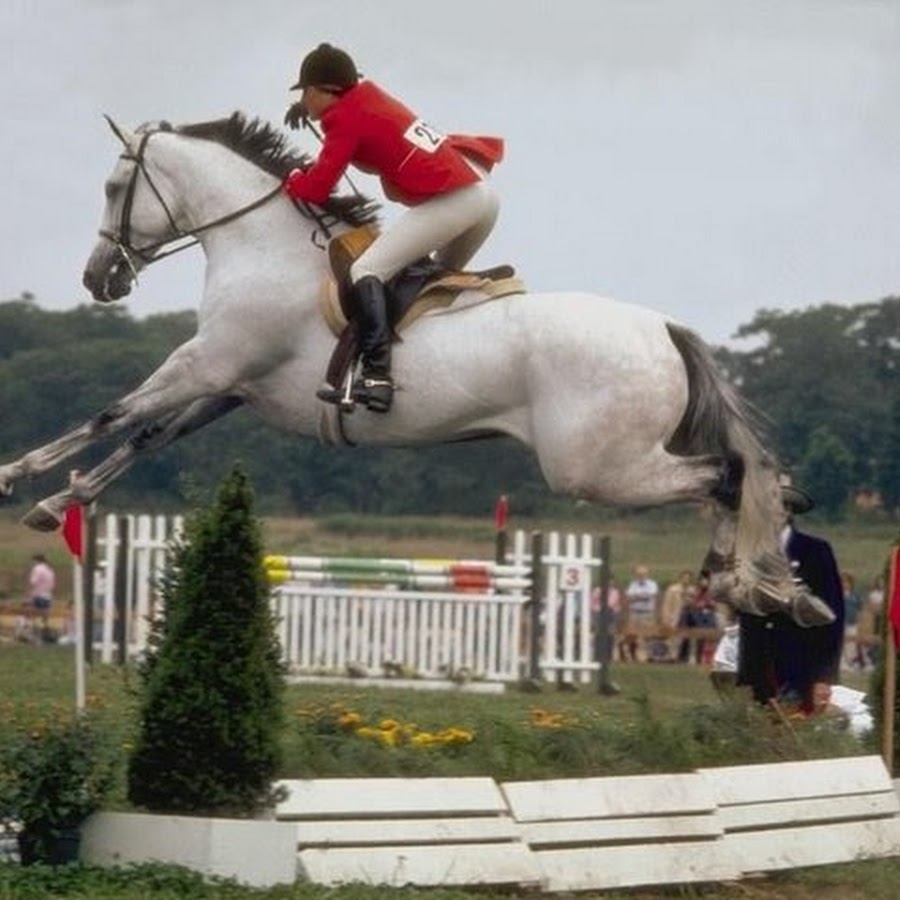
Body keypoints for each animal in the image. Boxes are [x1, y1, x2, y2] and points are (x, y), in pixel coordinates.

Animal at [0, 112, 828, 624]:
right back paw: (764, 590)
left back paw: (739, 583)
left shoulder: (205, 364)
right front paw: (61, 500)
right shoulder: (232, 386)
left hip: (597, 468)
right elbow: (147, 436)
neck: (264, 248)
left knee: (726, 476)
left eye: (115, 188)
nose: (99, 278)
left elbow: (113, 413)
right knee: (744, 481)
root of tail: (664, 327)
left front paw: (18, 476)